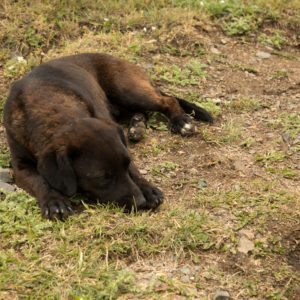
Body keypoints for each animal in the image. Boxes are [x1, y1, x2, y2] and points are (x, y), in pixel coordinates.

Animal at [3, 52, 212, 219]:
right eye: (101, 177)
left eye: (126, 164)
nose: (140, 201)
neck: (50, 107)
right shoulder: (20, 167)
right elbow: (40, 181)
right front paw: (54, 201)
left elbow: (135, 171)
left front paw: (148, 188)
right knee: (145, 111)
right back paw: (138, 125)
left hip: (127, 90)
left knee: (167, 100)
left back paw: (180, 121)